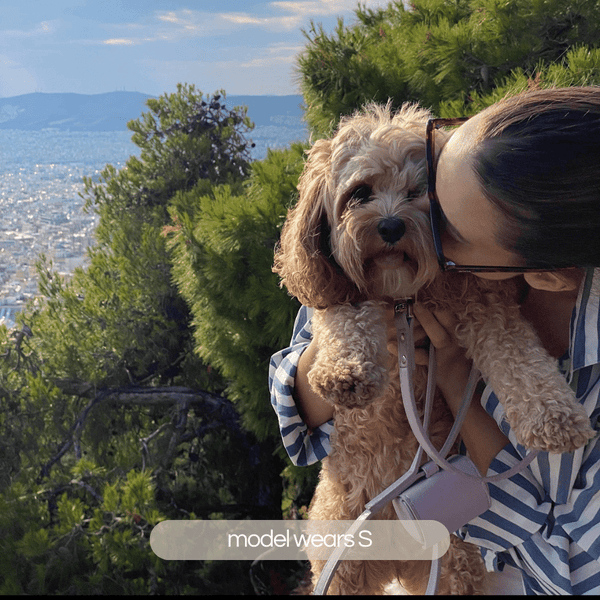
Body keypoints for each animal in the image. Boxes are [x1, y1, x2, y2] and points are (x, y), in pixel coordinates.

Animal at [274, 104, 596, 596]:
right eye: (360, 193)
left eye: (418, 192)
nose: (390, 225)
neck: (404, 299)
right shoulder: (338, 294)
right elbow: (341, 322)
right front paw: (345, 372)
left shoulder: (485, 307)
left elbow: (519, 359)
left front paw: (555, 416)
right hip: (341, 560)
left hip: (453, 564)